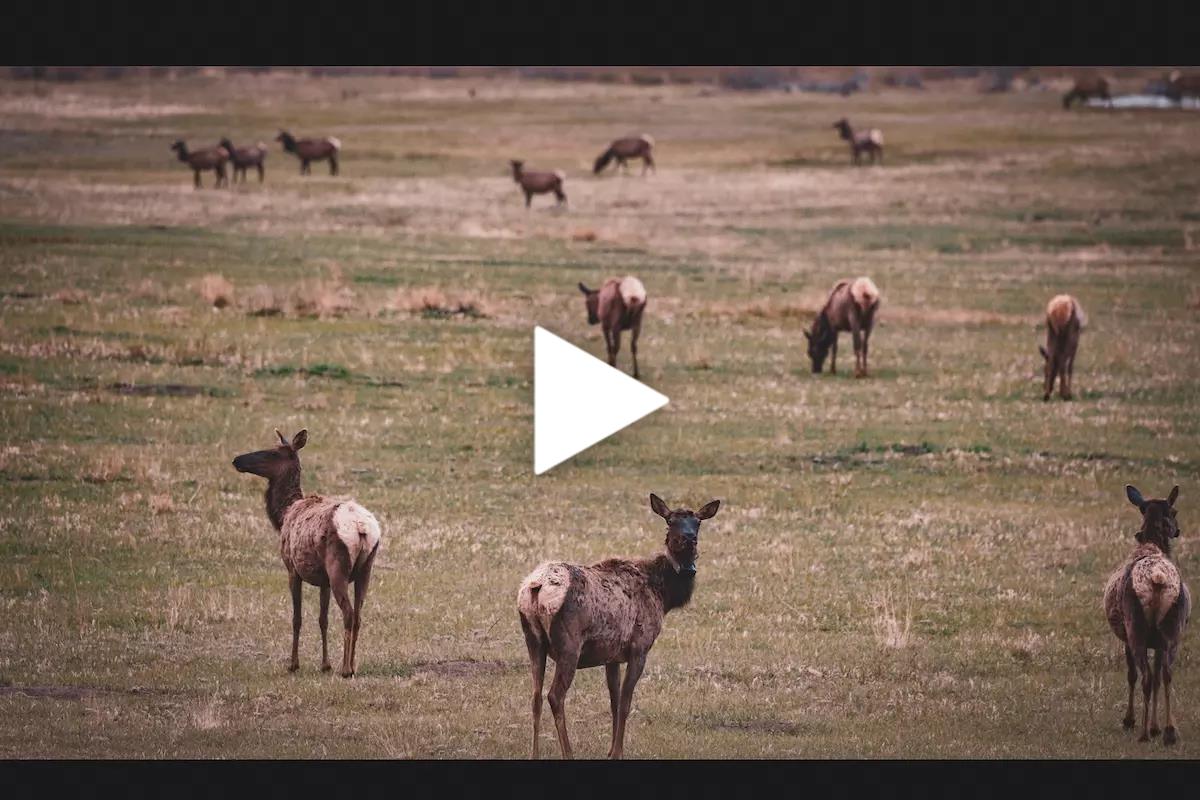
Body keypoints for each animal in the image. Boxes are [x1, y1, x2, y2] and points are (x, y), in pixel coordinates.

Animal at [232, 429, 382, 678]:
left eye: (273, 452)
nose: (237, 460)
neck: (283, 514)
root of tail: (361, 528)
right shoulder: (323, 580)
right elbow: (323, 619)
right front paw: (324, 664)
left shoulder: (292, 569)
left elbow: (297, 618)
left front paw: (293, 664)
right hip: (366, 568)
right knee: (358, 615)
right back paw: (351, 665)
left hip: (338, 567)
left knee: (349, 613)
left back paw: (345, 669)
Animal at [518, 494, 722, 759]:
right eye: (670, 521)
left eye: (697, 523)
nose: (689, 538)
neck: (664, 596)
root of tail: (537, 586)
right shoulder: (639, 647)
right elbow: (625, 702)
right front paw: (617, 752)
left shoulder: (611, 656)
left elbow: (613, 701)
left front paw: (610, 750)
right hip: (569, 644)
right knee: (555, 696)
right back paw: (568, 753)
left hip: (533, 641)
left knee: (535, 696)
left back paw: (534, 754)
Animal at [1103, 484, 1189, 744]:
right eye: (1175, 511)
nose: (1178, 530)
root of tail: (1156, 578)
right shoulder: (1159, 643)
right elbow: (1159, 679)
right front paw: (1155, 727)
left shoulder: (1126, 637)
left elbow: (1131, 675)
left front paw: (1130, 721)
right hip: (1172, 628)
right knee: (1166, 673)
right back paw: (1169, 732)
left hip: (1136, 627)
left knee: (1146, 677)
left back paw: (1142, 732)